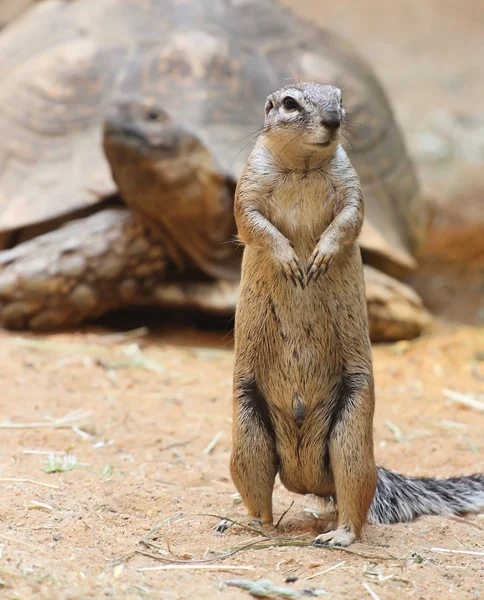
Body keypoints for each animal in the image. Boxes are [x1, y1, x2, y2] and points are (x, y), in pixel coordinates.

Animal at [219, 82, 484, 548]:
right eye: (290, 103)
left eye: (340, 98)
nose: (333, 120)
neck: (303, 168)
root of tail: (307, 479)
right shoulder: (248, 187)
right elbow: (252, 222)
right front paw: (290, 260)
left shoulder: (353, 187)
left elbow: (350, 219)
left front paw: (321, 255)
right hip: (248, 431)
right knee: (260, 496)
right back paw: (248, 524)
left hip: (352, 436)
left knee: (353, 499)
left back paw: (338, 535)